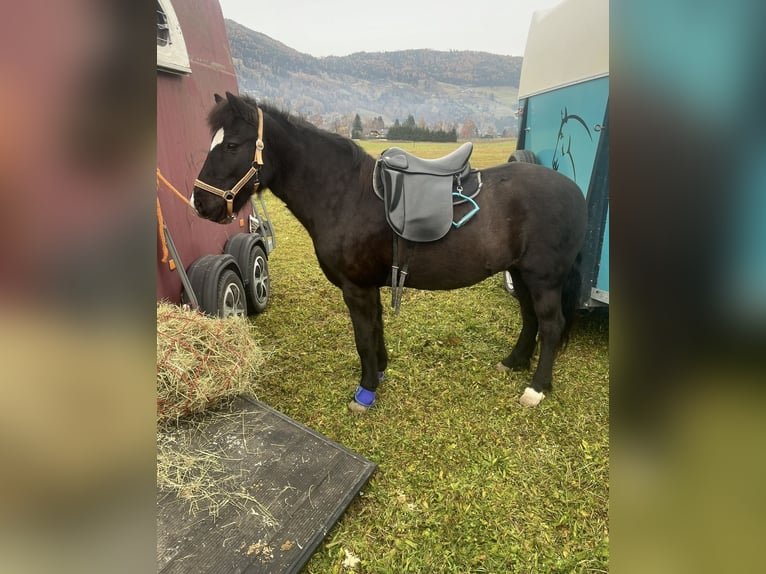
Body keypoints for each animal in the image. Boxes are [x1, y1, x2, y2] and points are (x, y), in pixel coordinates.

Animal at [191, 92, 587, 411]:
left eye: (231, 145)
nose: (200, 203)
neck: (346, 193)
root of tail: (573, 191)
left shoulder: (357, 288)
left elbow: (363, 338)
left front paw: (365, 392)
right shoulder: (371, 286)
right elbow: (376, 331)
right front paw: (379, 373)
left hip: (543, 279)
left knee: (550, 325)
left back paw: (537, 388)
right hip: (521, 273)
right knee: (530, 319)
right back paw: (515, 361)